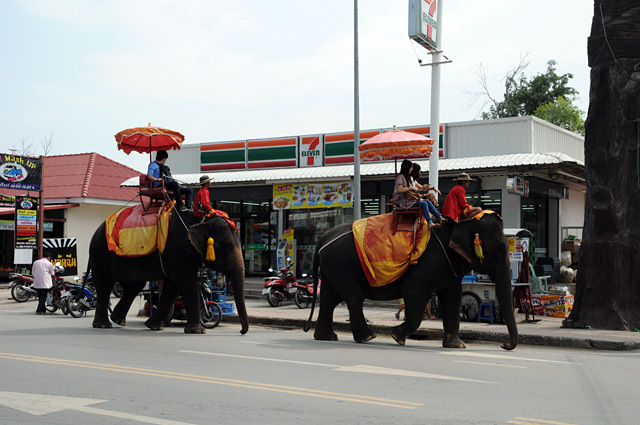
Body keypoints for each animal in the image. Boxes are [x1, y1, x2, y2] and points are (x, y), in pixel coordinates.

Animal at [89, 210, 249, 334]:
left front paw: (154, 327)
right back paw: (103, 325)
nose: (241, 332)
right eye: (226, 245)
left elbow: (172, 287)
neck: (201, 219)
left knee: (134, 285)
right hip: (100, 253)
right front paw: (197, 331)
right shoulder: (177, 252)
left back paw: (118, 320)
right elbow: (187, 282)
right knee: (105, 286)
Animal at [302, 214, 516, 350]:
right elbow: (412, 290)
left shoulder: (449, 269)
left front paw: (457, 346)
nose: (504, 345)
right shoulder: (428, 263)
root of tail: (322, 240)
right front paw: (396, 336)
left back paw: (327, 337)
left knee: (329, 299)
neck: (460, 223)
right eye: (497, 249)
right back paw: (367, 337)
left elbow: (453, 298)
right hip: (340, 264)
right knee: (354, 298)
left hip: (332, 267)